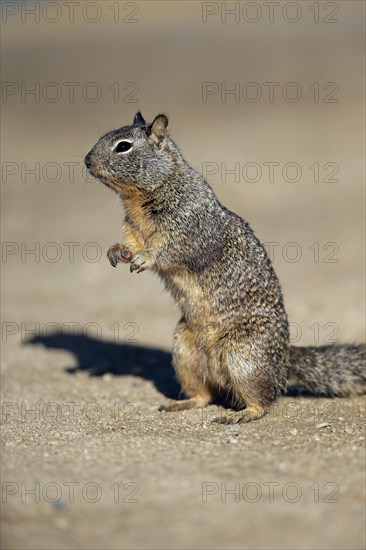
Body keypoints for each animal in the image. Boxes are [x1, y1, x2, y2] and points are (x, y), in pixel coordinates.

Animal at [84, 110, 364, 424]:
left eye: (123, 146)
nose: (86, 160)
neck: (145, 196)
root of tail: (284, 363)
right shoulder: (132, 229)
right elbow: (130, 243)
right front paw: (117, 251)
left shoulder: (191, 228)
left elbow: (174, 250)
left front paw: (146, 258)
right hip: (184, 351)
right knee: (204, 395)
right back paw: (183, 404)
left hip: (244, 356)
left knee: (264, 398)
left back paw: (243, 414)